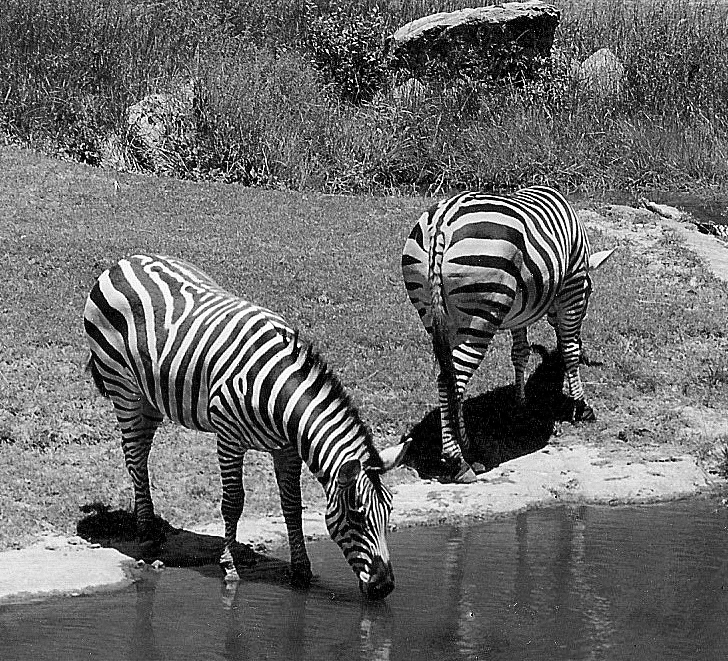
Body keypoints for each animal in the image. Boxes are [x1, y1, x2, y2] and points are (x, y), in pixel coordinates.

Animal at [85, 255, 410, 600]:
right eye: (357, 516)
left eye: (389, 512)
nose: (384, 587)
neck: (279, 396)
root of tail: (126, 261)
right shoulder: (228, 437)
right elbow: (233, 502)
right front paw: (229, 566)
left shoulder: (287, 449)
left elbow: (292, 505)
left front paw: (301, 570)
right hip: (124, 388)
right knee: (134, 455)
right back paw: (146, 532)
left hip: (150, 397)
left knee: (140, 453)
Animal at [404, 183, 616, 482]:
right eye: (590, 291)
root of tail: (444, 221)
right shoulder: (571, 288)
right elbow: (569, 351)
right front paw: (581, 406)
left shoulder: (521, 310)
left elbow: (520, 353)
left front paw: (520, 405)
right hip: (480, 315)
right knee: (451, 380)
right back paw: (457, 460)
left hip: (435, 316)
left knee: (449, 376)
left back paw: (468, 447)